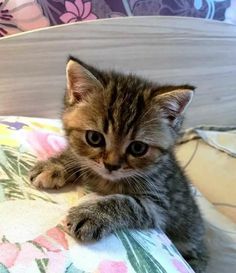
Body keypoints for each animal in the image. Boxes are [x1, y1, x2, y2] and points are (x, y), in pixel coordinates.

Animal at [30, 56, 208, 270]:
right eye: (94, 138)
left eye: (138, 148)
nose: (111, 165)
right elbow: (78, 157)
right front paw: (55, 165)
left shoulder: (159, 204)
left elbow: (126, 202)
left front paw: (92, 215)